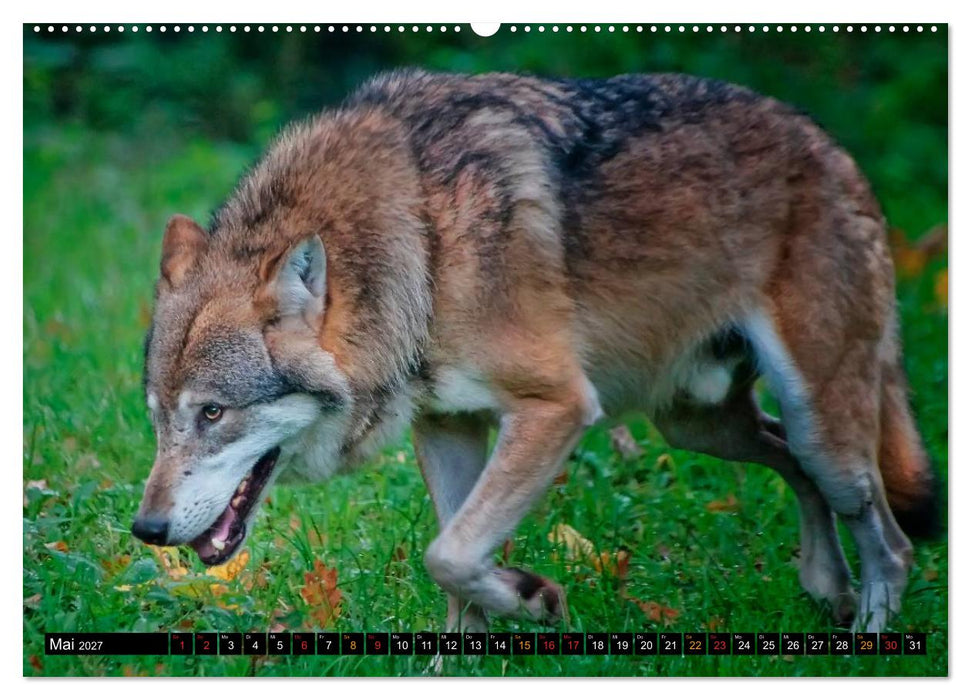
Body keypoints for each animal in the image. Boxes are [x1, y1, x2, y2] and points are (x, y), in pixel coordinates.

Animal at [132, 70, 939, 633]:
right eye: (158, 418)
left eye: (212, 414)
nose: (146, 531)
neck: (423, 247)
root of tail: (835, 150)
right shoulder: (447, 425)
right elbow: (453, 574)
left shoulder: (556, 407)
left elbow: (449, 554)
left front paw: (533, 597)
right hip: (697, 424)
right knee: (792, 467)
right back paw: (826, 588)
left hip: (817, 424)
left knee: (889, 541)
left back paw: (868, 637)